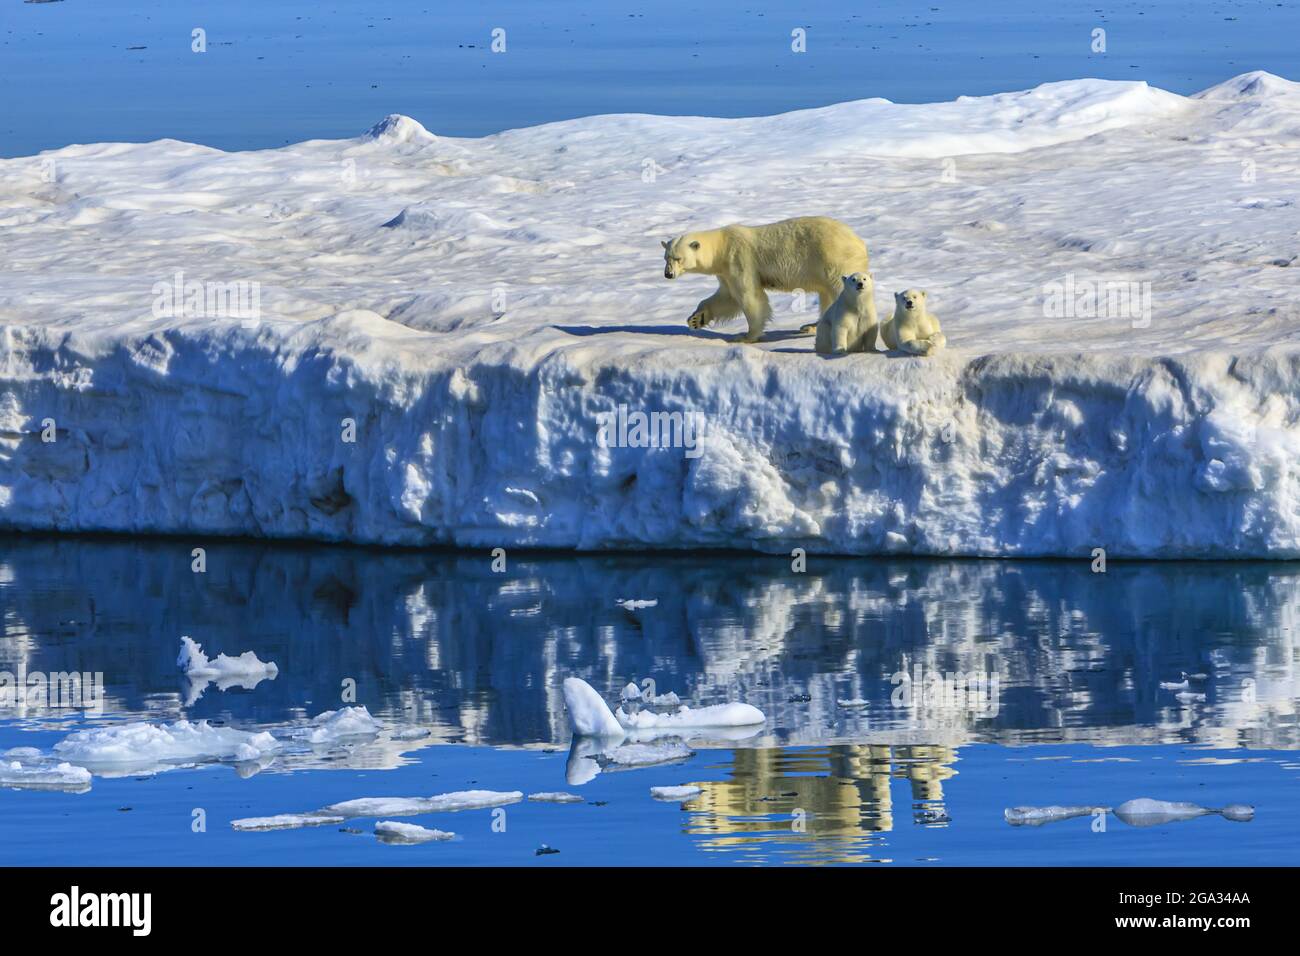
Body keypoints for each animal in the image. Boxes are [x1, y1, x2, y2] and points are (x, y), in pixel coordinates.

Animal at [660, 215, 873, 343]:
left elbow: (749, 297)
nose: (668, 274)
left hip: (834, 259)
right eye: (666, 257)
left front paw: (745, 337)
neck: (722, 246)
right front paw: (696, 319)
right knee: (826, 294)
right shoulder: (725, 272)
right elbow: (727, 298)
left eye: (678, 258)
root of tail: (859, 242)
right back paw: (811, 326)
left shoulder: (739, 259)